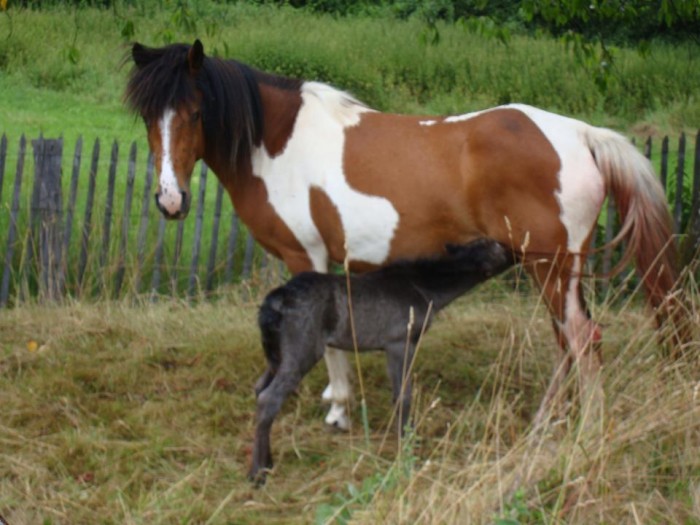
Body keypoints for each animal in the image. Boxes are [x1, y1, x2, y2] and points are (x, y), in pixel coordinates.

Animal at [126, 37, 684, 430]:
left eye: (196, 112)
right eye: (149, 116)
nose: (170, 200)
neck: (277, 144)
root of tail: (582, 134)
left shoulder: (307, 258)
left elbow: (328, 338)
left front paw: (339, 409)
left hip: (550, 266)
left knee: (583, 340)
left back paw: (586, 434)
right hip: (555, 271)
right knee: (567, 340)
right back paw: (547, 422)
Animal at [250, 237, 516, 484]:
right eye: (496, 248)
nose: (516, 250)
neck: (422, 287)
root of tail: (274, 301)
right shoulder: (399, 343)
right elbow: (402, 395)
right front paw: (407, 446)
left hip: (276, 355)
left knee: (259, 388)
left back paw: (267, 462)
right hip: (301, 352)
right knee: (268, 398)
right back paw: (257, 473)